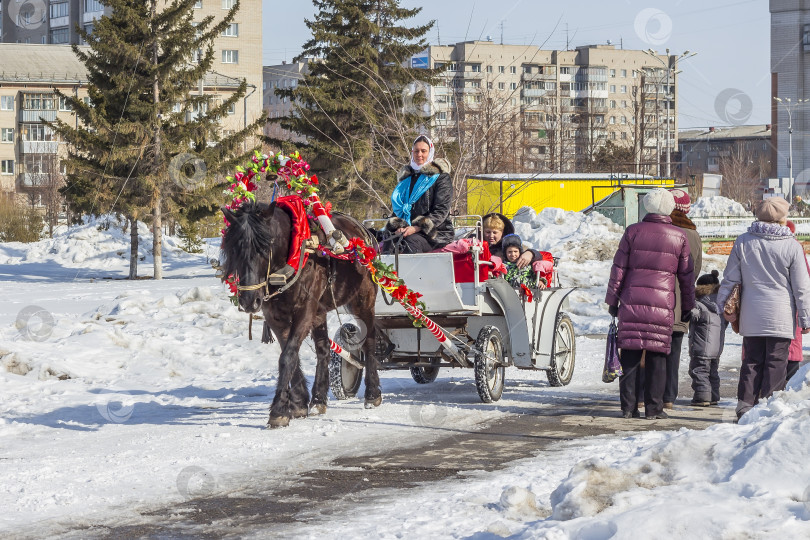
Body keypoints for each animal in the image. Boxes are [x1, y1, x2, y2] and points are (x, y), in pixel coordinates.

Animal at [219, 200, 380, 428]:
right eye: (234, 248)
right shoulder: (275, 316)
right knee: (323, 349)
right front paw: (298, 403)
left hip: (363, 300)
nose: (249, 300)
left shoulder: (304, 311)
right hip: (320, 312)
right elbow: (290, 355)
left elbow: (287, 356)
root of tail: (365, 233)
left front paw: (278, 411)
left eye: (265, 247)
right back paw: (319, 399)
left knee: (370, 342)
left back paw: (373, 394)